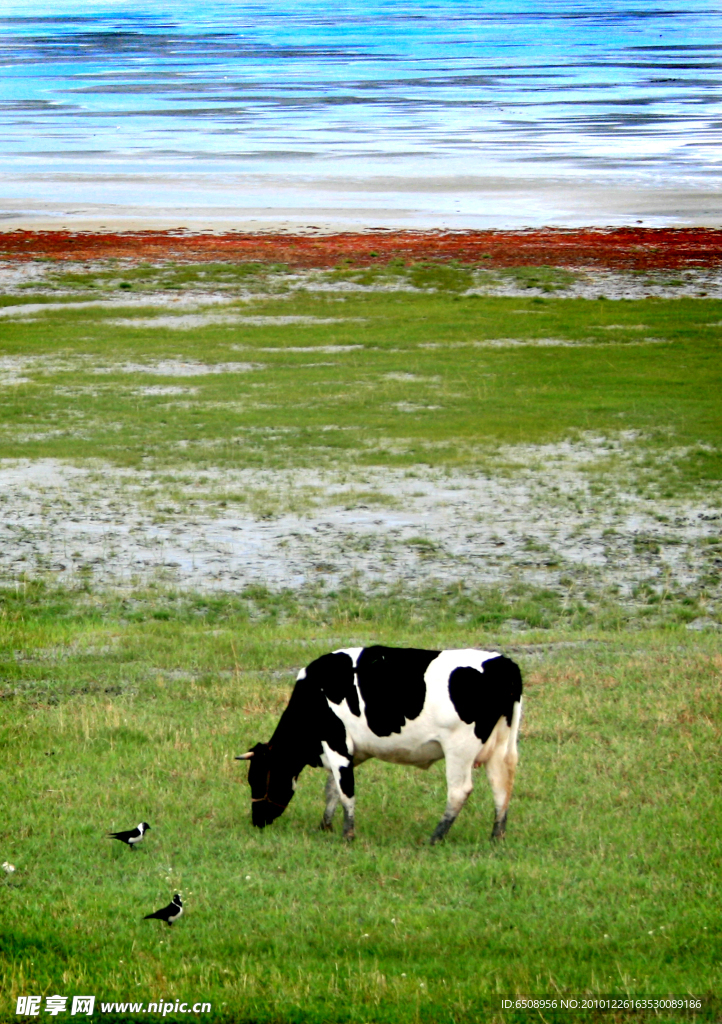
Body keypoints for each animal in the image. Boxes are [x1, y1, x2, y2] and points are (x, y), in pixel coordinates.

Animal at [239, 643, 520, 843]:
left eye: (257, 779)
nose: (257, 821)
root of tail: (503, 663)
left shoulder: (337, 742)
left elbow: (346, 790)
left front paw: (347, 834)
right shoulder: (347, 751)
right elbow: (332, 788)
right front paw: (324, 826)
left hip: (459, 747)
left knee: (459, 791)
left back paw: (435, 837)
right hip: (502, 744)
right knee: (501, 786)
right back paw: (496, 837)